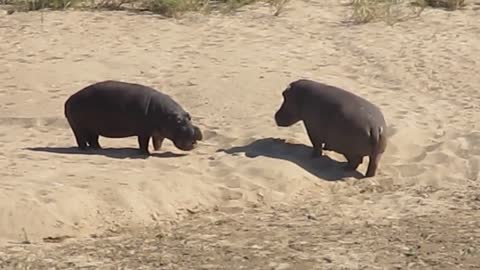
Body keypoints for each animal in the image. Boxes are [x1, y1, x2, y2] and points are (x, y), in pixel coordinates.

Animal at [64, 80, 202, 155]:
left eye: (189, 116)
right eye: (178, 121)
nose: (197, 132)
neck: (166, 115)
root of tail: (69, 100)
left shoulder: (158, 132)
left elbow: (158, 141)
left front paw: (158, 150)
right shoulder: (144, 132)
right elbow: (143, 143)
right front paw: (145, 153)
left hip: (93, 129)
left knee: (93, 140)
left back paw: (98, 149)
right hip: (78, 127)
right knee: (81, 139)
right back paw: (86, 150)